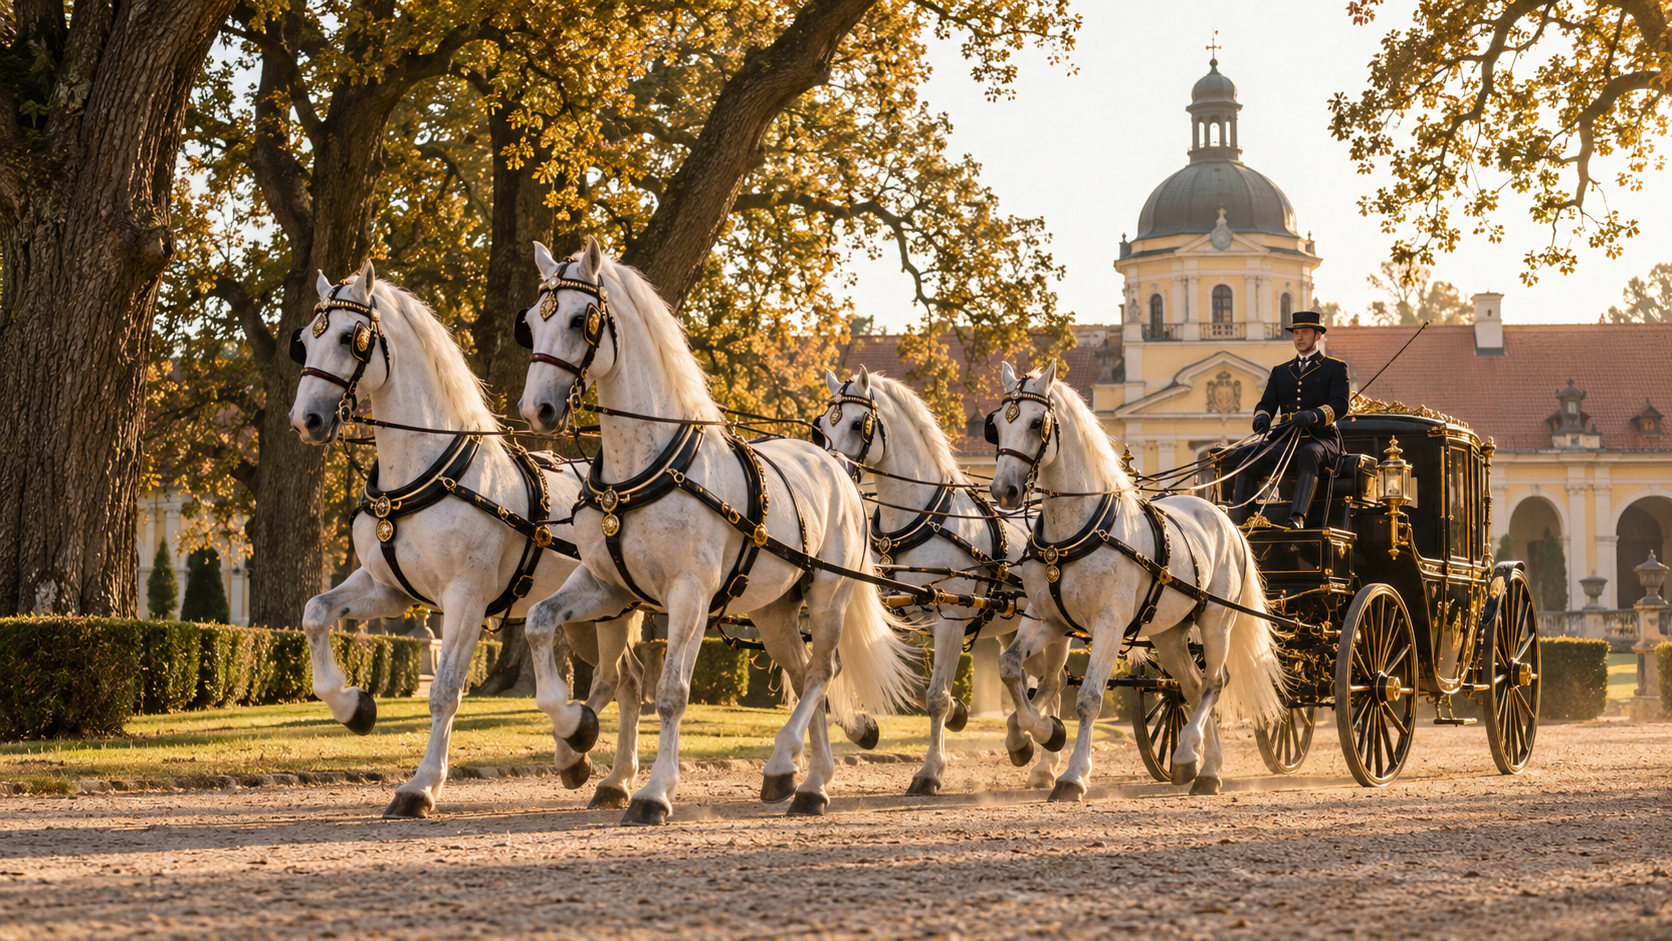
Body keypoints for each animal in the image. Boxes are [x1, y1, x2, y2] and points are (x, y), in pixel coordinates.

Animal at [287, 261, 645, 817]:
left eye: (351, 338)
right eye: (304, 341)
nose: (306, 419)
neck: (429, 471)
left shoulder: (465, 597)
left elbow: (446, 689)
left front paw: (421, 786)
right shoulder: (387, 588)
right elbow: (315, 613)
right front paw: (354, 706)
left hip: (616, 610)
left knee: (624, 681)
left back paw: (600, 765)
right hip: (593, 616)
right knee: (623, 678)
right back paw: (594, 766)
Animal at [516, 237, 920, 825]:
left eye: (578, 319)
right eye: (529, 323)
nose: (537, 409)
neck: (646, 466)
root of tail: (837, 468)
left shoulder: (690, 593)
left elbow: (671, 692)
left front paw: (655, 791)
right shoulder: (606, 585)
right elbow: (540, 623)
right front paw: (576, 732)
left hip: (827, 594)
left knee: (822, 671)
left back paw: (792, 767)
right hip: (773, 611)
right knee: (804, 674)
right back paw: (806, 779)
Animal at [814, 366, 1071, 794]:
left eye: (857, 423)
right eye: (822, 426)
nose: (833, 472)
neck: (920, 519)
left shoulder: (950, 622)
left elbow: (935, 696)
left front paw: (930, 770)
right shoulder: (893, 615)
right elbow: (887, 679)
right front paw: (867, 727)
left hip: (1058, 627)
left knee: (1053, 682)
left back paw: (1039, 744)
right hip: (1011, 629)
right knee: (1042, 680)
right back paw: (1039, 759)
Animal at [985, 361, 1287, 800]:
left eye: (1037, 422)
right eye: (995, 425)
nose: (1004, 490)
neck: (1076, 529)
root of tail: (1224, 518)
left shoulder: (1109, 625)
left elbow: (1089, 699)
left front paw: (1073, 774)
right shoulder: (1048, 619)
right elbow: (1012, 668)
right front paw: (1035, 735)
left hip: (1215, 622)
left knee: (1215, 681)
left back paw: (1190, 754)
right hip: (1170, 634)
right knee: (1193, 686)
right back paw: (1203, 765)